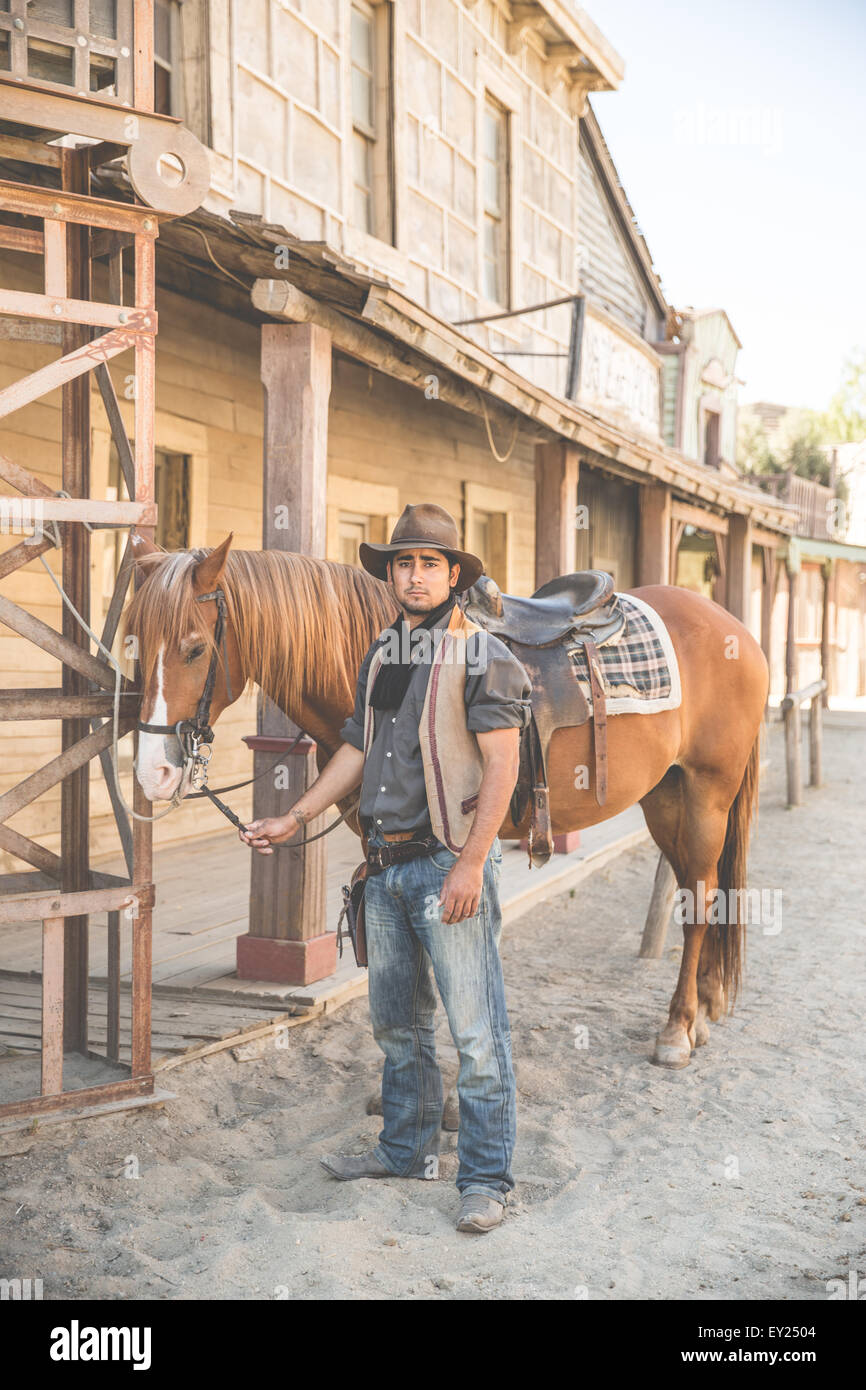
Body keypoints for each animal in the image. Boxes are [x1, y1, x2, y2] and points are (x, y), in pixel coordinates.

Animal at [125, 528, 767, 1061]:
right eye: (134, 642)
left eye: (194, 648)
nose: (153, 774)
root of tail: (735, 629)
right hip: (665, 795)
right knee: (701, 888)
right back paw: (704, 1008)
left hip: (707, 793)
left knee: (701, 897)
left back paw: (678, 1028)